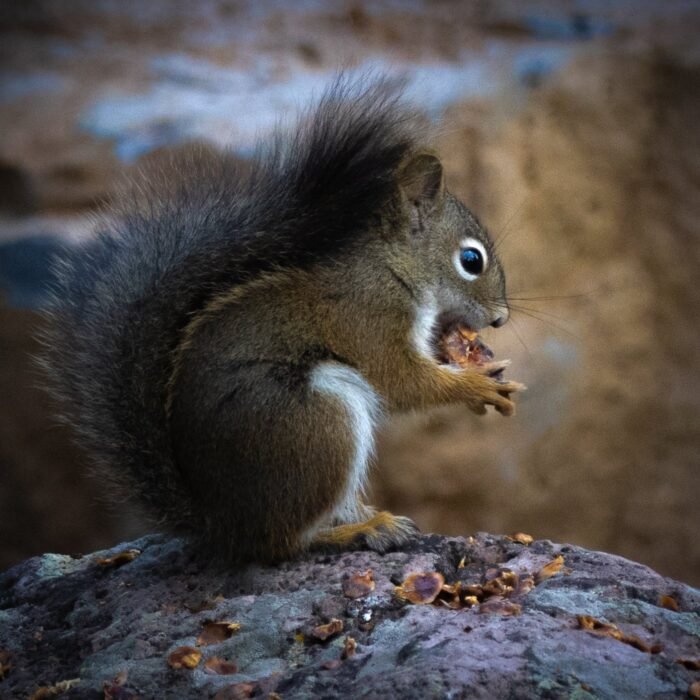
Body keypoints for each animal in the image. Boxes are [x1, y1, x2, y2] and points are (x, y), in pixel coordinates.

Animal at [42, 78, 524, 563]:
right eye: (471, 260)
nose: (500, 319)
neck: (392, 267)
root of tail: (220, 524)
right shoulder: (369, 318)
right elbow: (402, 381)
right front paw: (477, 386)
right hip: (315, 421)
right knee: (281, 542)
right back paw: (357, 531)